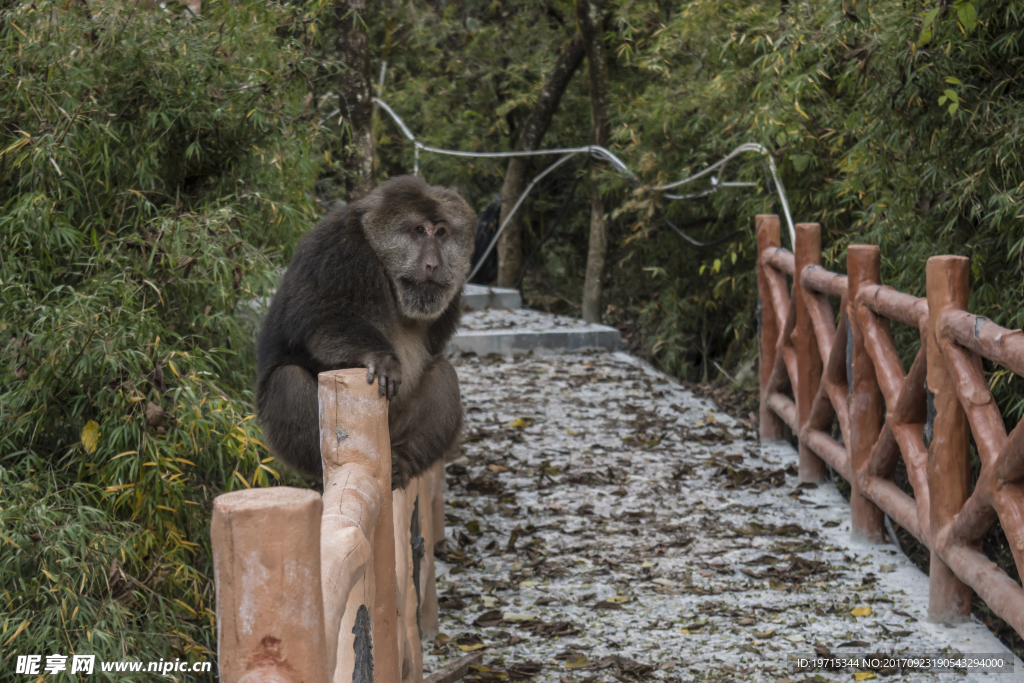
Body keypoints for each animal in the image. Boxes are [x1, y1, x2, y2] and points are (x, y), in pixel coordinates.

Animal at [256, 174, 479, 489]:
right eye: (419, 230)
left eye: (442, 232)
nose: (433, 264)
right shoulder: (338, 250)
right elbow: (325, 321)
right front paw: (380, 357)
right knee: (287, 379)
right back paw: (327, 467)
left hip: (393, 429)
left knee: (442, 373)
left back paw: (403, 461)